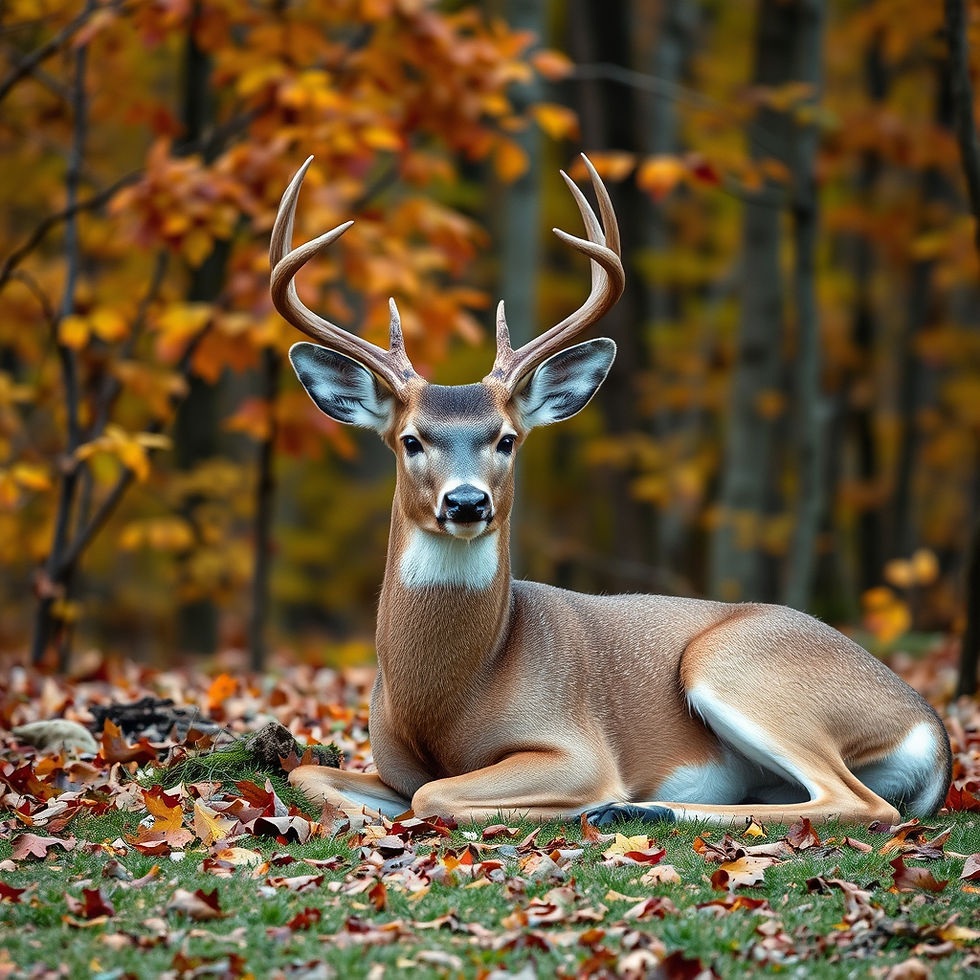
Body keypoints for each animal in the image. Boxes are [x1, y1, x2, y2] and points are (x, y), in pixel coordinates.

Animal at [272, 155, 952, 829]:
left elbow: (434, 793)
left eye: (507, 439)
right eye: (410, 440)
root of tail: (933, 731)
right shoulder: (388, 762)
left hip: (736, 664)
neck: (453, 695)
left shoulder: (577, 745)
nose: (466, 503)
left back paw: (629, 809)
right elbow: (309, 774)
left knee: (859, 803)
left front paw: (580, 804)